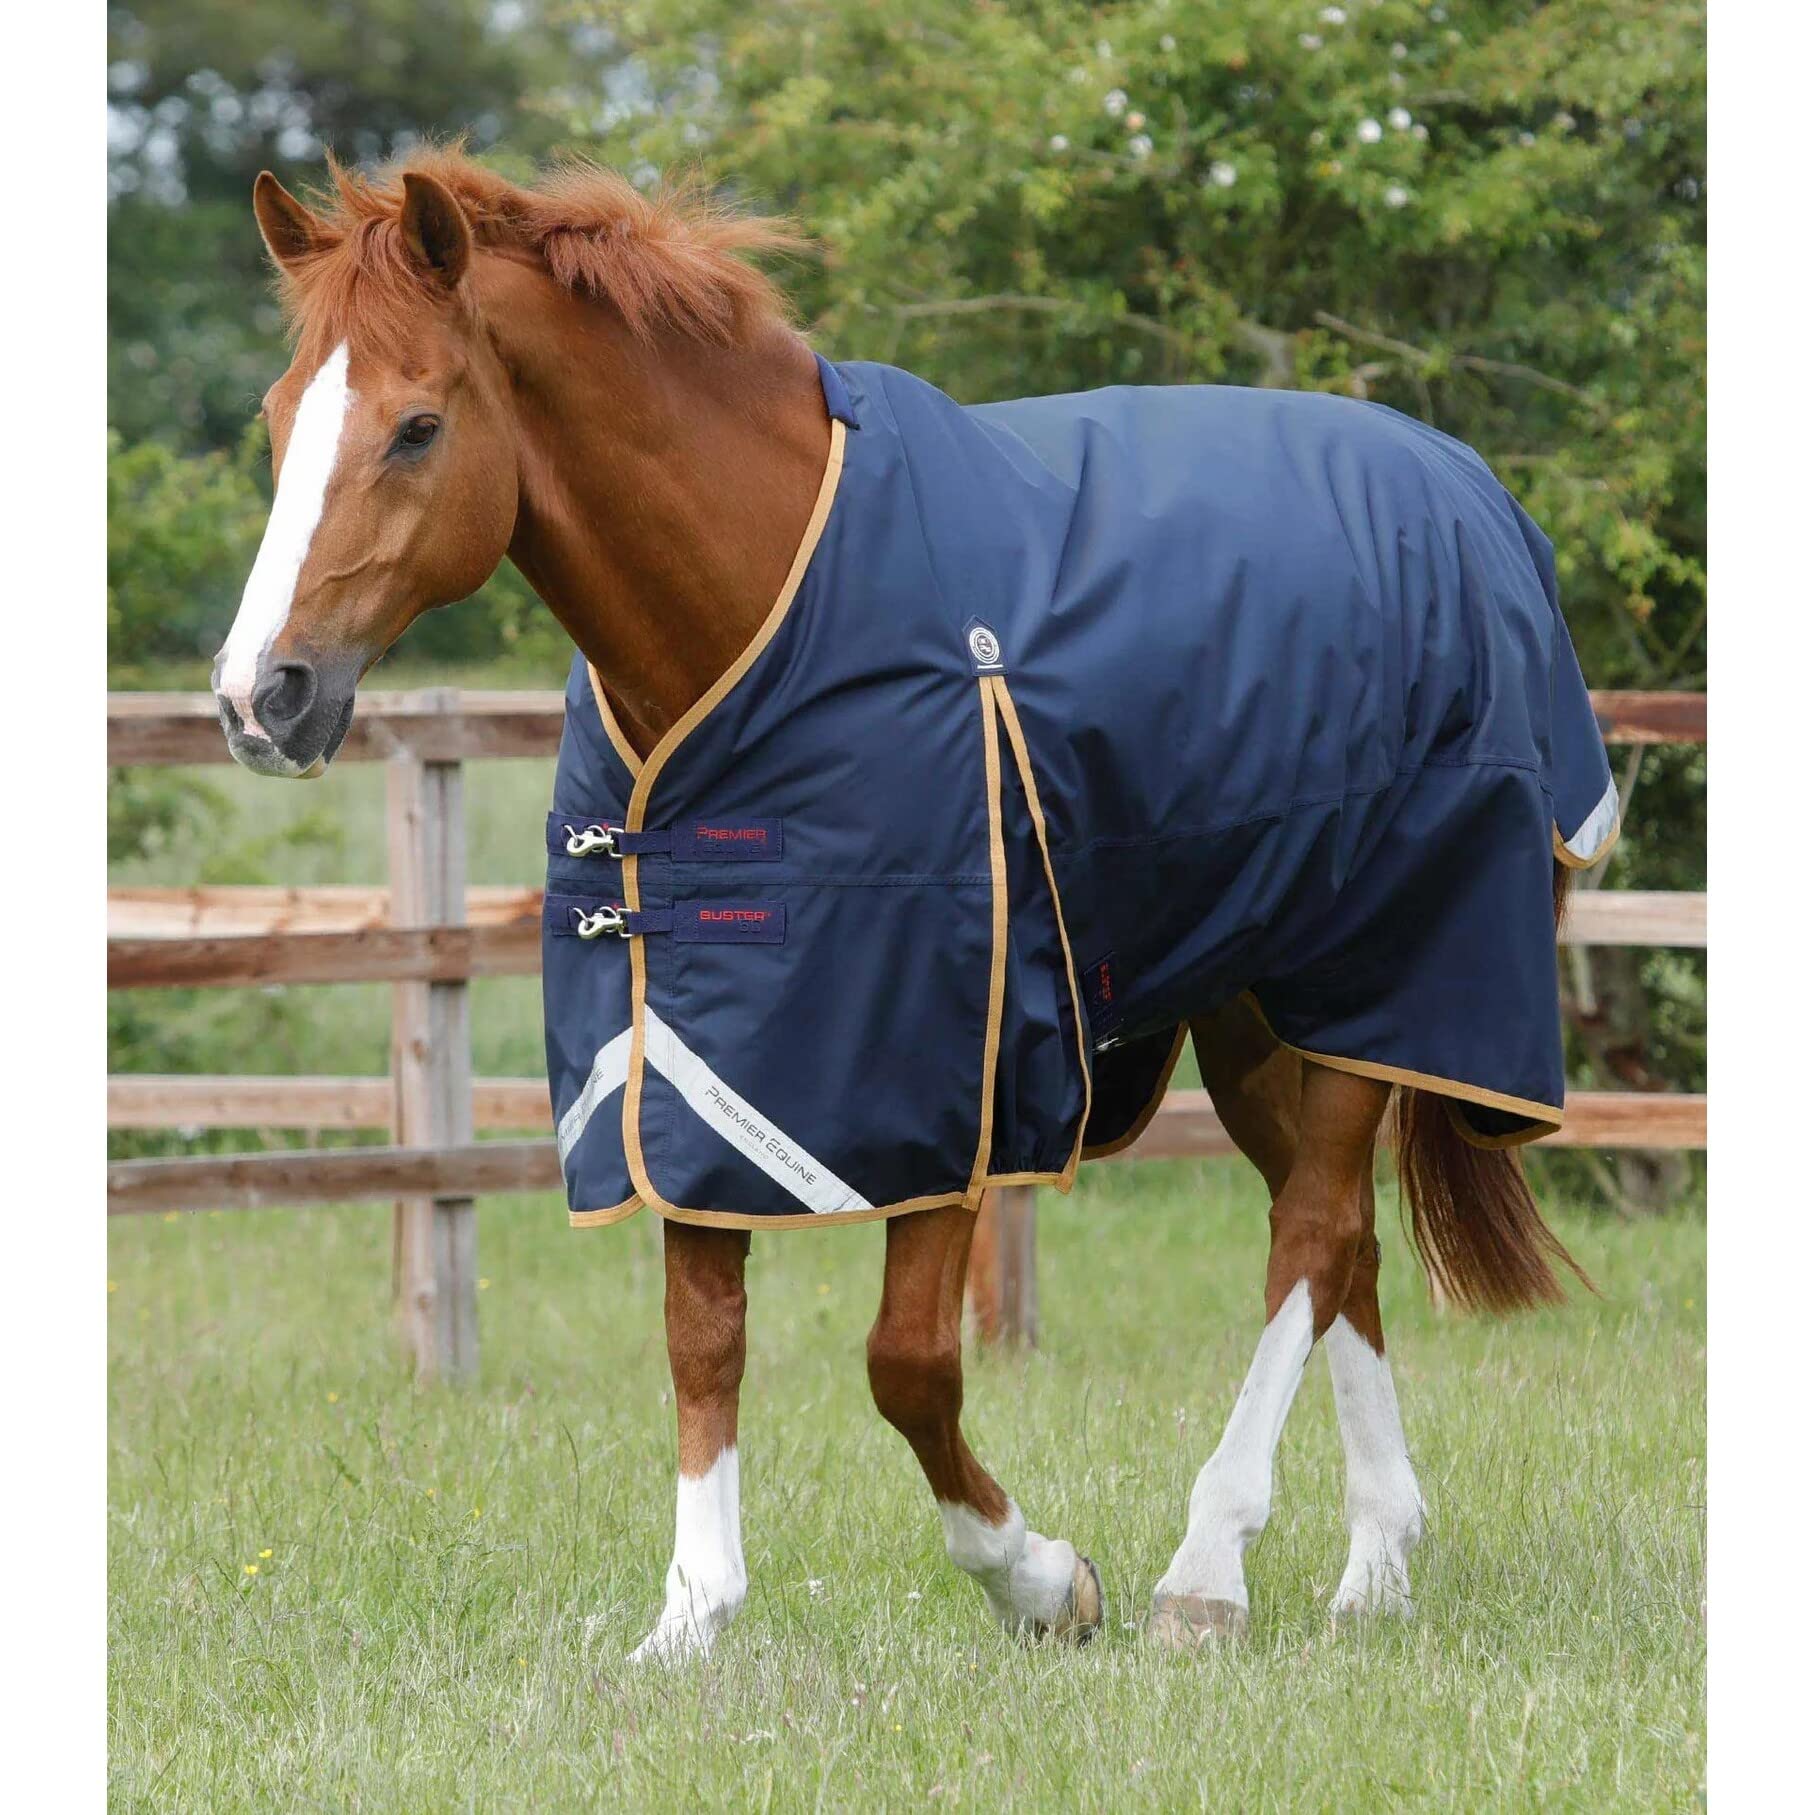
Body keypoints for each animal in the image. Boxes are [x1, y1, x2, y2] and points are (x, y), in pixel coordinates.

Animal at [212, 151, 1610, 1662]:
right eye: (280, 419)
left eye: (417, 427)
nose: (258, 696)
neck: (762, 603)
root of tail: (1469, 495)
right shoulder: (690, 1046)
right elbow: (702, 1334)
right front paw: (691, 1617)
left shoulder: (952, 1069)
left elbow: (908, 1364)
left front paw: (1042, 1577)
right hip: (1254, 1007)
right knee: (1341, 1235)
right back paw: (1375, 1562)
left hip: (1392, 966)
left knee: (1309, 1235)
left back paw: (1205, 1570)